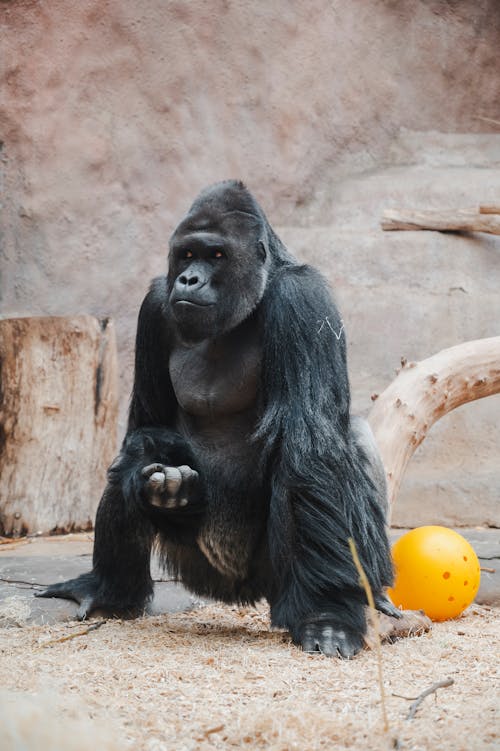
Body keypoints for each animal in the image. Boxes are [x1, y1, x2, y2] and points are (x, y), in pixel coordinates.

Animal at [38, 181, 398, 656]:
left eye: (218, 255)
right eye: (187, 255)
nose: (189, 279)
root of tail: (242, 595)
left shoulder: (302, 299)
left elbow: (311, 449)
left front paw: (329, 614)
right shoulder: (155, 304)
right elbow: (145, 430)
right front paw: (170, 491)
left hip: (275, 581)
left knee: (346, 438)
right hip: (198, 569)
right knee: (128, 460)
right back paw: (110, 588)